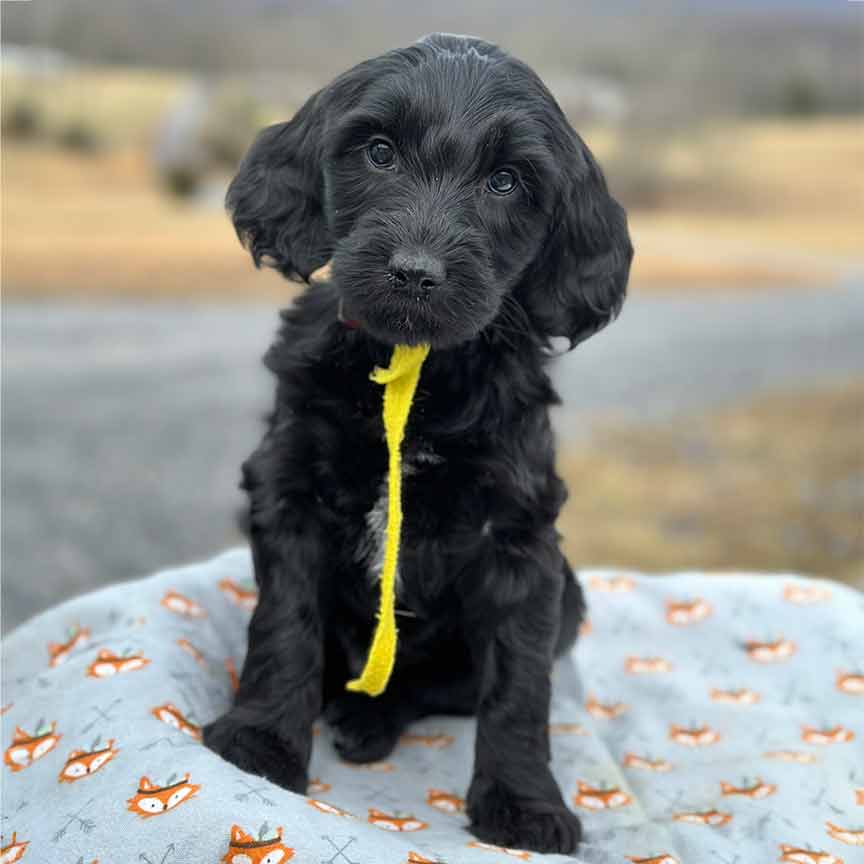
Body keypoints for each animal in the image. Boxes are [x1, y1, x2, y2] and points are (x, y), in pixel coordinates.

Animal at [206, 35, 632, 856]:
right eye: (379, 152)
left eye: (505, 181)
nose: (413, 273)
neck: (417, 371)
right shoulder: (287, 487)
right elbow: (285, 625)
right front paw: (261, 741)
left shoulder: (519, 537)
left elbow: (518, 686)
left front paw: (523, 805)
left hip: (567, 597)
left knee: (436, 685)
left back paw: (370, 716)